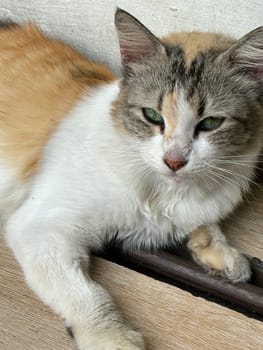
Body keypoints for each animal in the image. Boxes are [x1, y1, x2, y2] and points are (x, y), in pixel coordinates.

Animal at [0, 7, 262, 350]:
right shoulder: (40, 228)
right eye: (152, 116)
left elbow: (206, 226)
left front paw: (225, 257)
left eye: (210, 123)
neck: (163, 193)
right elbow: (89, 297)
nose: (174, 161)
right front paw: (112, 338)